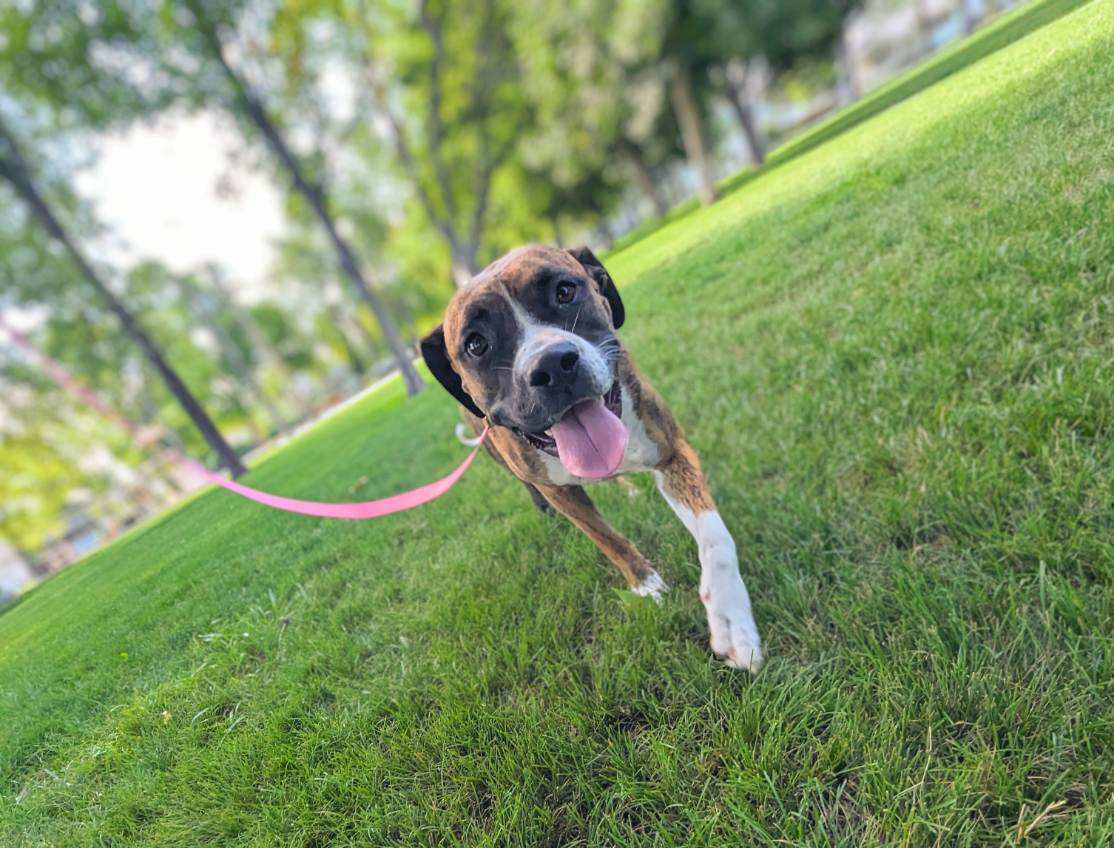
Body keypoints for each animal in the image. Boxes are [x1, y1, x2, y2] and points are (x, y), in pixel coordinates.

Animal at [418, 242, 766, 668]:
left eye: (565, 292)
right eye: (476, 344)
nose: (551, 364)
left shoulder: (671, 454)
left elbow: (715, 540)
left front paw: (731, 620)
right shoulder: (561, 492)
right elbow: (607, 538)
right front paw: (645, 584)